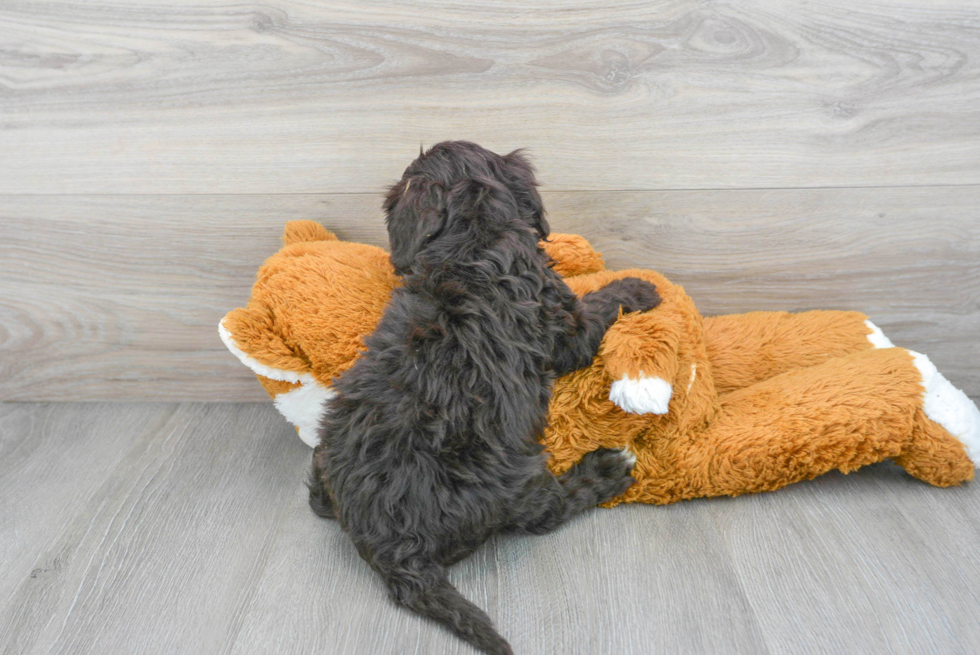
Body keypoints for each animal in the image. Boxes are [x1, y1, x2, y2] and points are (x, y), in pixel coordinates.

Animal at [306, 144, 660, 655]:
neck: (470, 241)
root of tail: (390, 548)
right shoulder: (563, 322)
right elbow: (596, 305)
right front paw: (637, 286)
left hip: (328, 441)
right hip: (517, 479)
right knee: (547, 513)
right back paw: (606, 470)